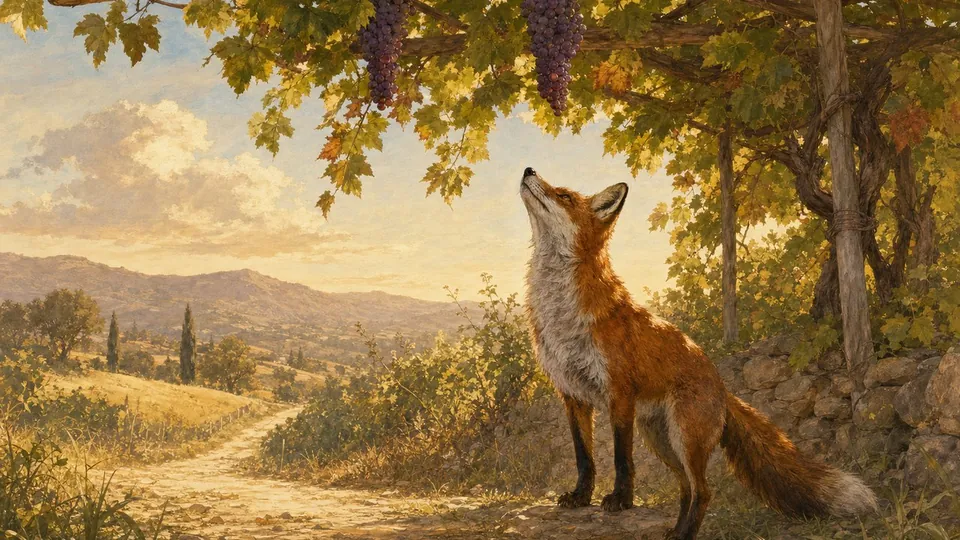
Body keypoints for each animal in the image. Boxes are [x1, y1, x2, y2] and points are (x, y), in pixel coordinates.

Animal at [519, 167, 877, 540]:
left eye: (563, 196)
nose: (528, 170)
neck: (563, 315)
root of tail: (721, 385)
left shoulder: (619, 393)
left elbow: (621, 459)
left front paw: (620, 500)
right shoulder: (573, 395)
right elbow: (584, 458)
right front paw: (580, 497)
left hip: (683, 438)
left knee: (703, 491)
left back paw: (686, 532)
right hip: (662, 440)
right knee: (687, 489)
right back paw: (675, 533)